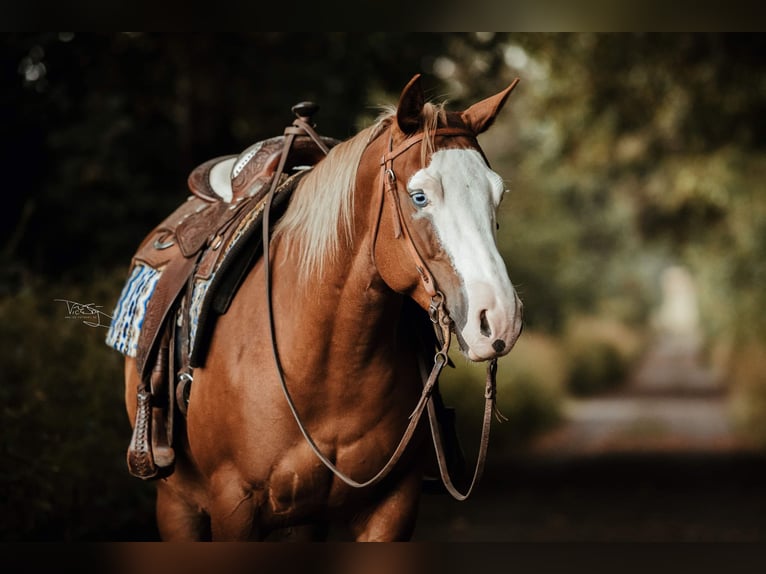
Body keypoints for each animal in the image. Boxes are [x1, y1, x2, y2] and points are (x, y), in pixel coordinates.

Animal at [119, 74, 523, 541]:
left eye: (498, 195)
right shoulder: (233, 507)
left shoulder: (393, 505)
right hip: (177, 504)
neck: (325, 363)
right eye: (419, 196)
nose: (500, 319)